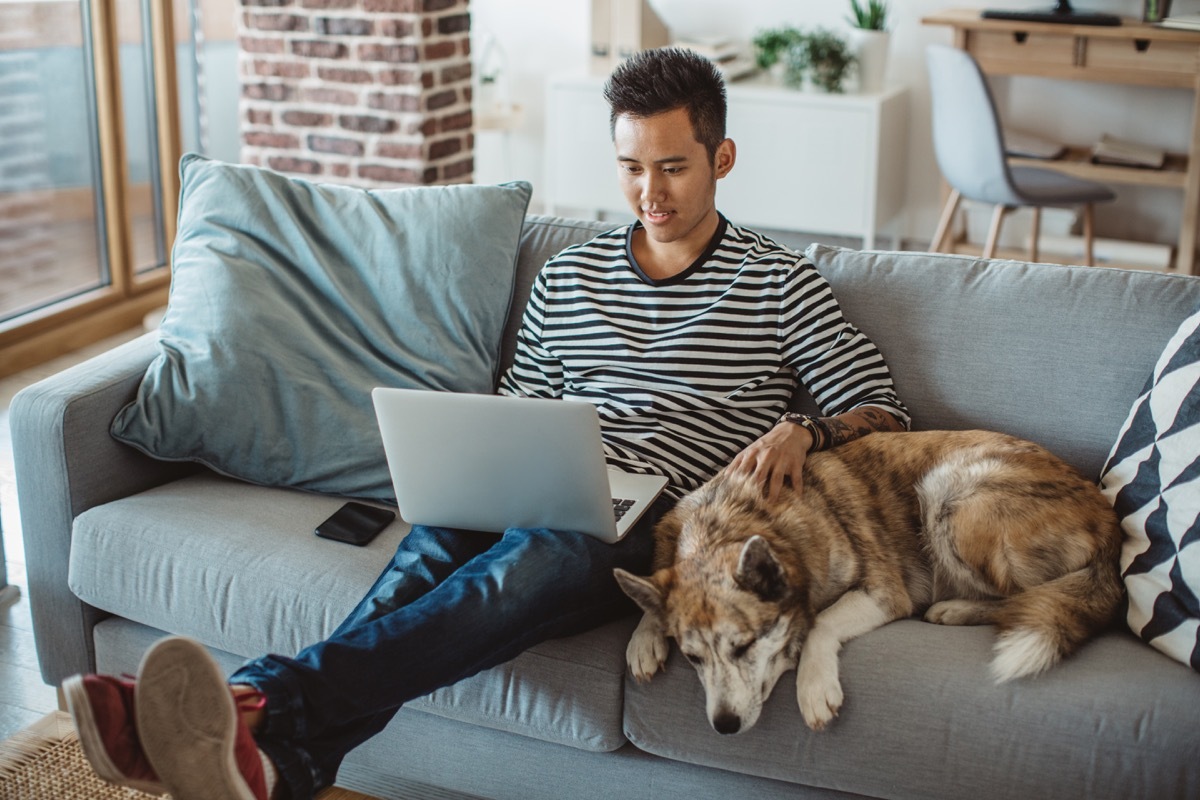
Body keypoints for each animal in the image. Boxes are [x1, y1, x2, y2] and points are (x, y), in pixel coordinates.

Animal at [614, 434, 1128, 734]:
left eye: (743, 646)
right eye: (693, 658)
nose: (723, 725)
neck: (735, 520)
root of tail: (1109, 520)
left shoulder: (883, 593)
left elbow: (821, 622)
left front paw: (813, 686)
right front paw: (645, 637)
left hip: (949, 492)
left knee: (1019, 597)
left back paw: (954, 609)